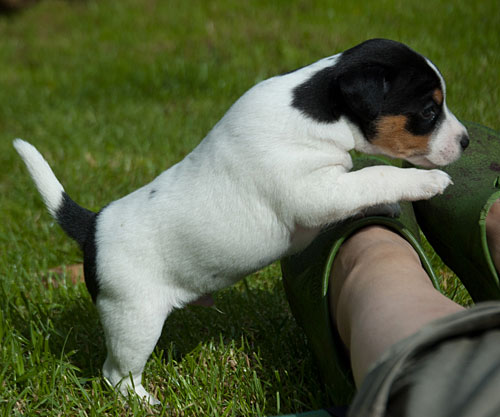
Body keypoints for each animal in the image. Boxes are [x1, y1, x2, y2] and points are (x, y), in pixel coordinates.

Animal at [14, 39, 468, 404]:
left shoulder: (329, 186)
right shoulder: (314, 193)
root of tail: (92, 227)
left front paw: (389, 206)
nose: (465, 141)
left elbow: (364, 181)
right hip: (133, 320)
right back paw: (145, 401)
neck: (316, 109)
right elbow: (375, 173)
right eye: (429, 110)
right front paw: (426, 183)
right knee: (116, 376)